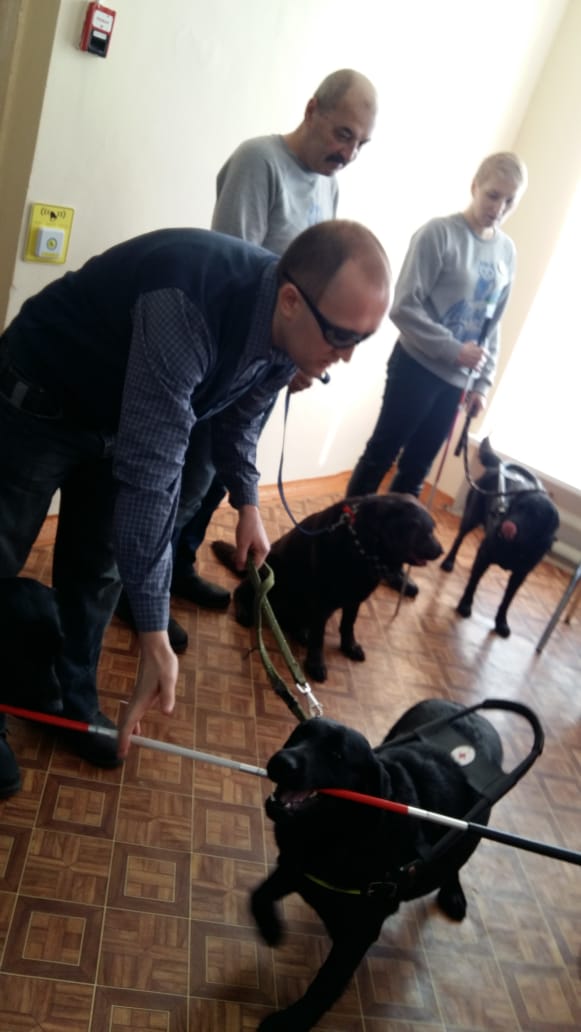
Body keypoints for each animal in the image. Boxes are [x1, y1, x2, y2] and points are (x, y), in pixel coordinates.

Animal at [234, 493, 443, 682]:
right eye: (425, 530)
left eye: (433, 529)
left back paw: (302, 631)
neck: (362, 545)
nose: (441, 551)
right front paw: (316, 664)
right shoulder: (322, 602)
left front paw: (349, 646)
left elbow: (348, 624)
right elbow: (319, 637)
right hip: (270, 569)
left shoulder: (355, 598)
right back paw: (245, 611)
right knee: (243, 592)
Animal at [251, 700, 503, 1031]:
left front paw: (293, 1020)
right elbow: (258, 895)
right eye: (297, 736)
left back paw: (452, 892)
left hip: (470, 830)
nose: (281, 761)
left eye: (336, 755)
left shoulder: (359, 933)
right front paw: (270, 928)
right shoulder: (295, 867)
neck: (334, 833)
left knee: (455, 859)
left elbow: (325, 984)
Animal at [441, 438, 559, 637]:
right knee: (459, 539)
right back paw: (448, 561)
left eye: (536, 516)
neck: (516, 547)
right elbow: (473, 583)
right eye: (518, 507)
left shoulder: (520, 574)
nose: (507, 525)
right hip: (470, 517)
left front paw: (501, 621)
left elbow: (507, 600)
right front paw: (465, 604)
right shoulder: (485, 554)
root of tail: (498, 465)